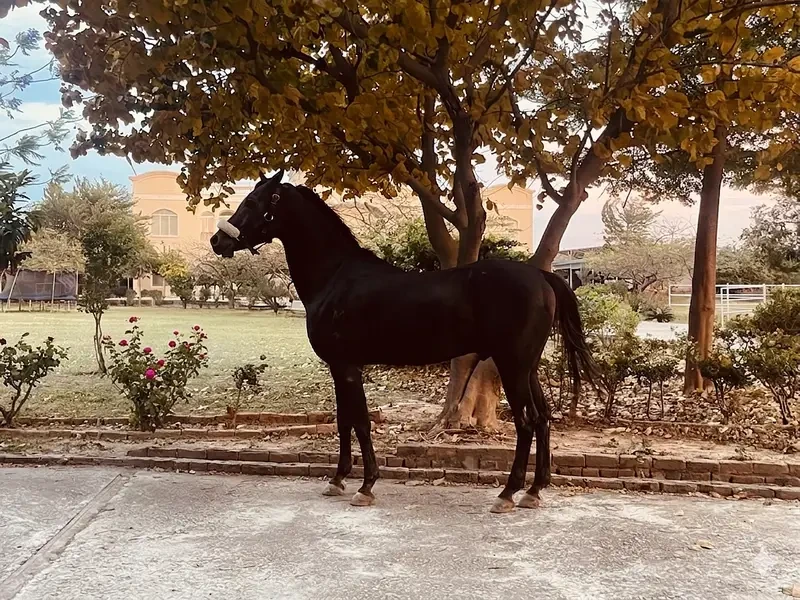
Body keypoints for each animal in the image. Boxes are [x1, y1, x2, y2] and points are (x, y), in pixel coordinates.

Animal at [211, 171, 598, 513]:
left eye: (252, 201)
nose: (218, 241)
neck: (336, 277)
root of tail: (542, 277)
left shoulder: (347, 366)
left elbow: (360, 422)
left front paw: (365, 486)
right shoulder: (339, 368)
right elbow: (344, 420)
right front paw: (337, 480)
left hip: (513, 366)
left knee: (527, 421)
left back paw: (507, 494)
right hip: (526, 368)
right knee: (543, 418)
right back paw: (534, 491)